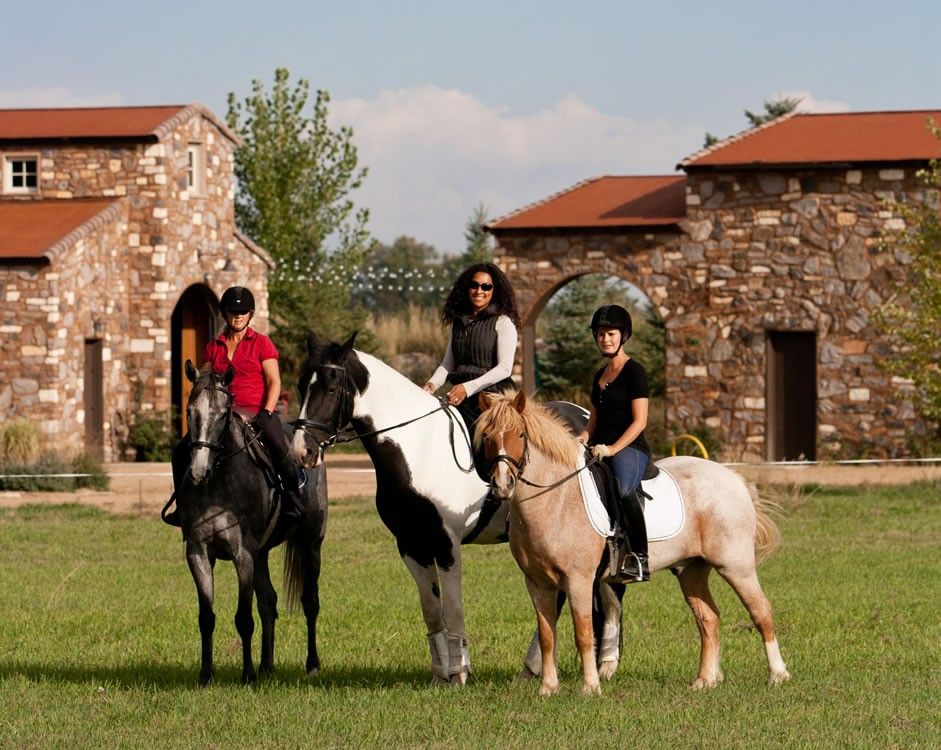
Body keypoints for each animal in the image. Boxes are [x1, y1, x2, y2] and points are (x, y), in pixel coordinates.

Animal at [174, 362, 328, 684]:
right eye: (191, 412)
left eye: (223, 414)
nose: (198, 471)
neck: (219, 481)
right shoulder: (198, 553)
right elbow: (206, 617)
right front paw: (206, 675)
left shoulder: (242, 553)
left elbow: (244, 618)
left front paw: (246, 675)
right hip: (262, 554)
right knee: (268, 603)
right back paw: (266, 666)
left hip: (310, 544)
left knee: (310, 602)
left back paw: (311, 664)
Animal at [290, 334, 604, 688]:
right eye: (301, 385)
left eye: (331, 388)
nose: (302, 452)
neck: (416, 447)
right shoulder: (411, 544)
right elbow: (431, 609)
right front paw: (440, 674)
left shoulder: (446, 544)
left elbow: (453, 608)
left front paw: (459, 673)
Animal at [478, 394, 784, 700]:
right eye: (487, 436)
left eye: (520, 434)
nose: (502, 485)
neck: (557, 499)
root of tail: (736, 480)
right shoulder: (537, 583)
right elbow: (546, 635)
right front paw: (548, 689)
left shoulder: (579, 580)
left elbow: (583, 633)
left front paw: (590, 687)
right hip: (692, 571)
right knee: (708, 618)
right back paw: (705, 680)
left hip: (736, 567)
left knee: (761, 611)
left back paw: (778, 675)